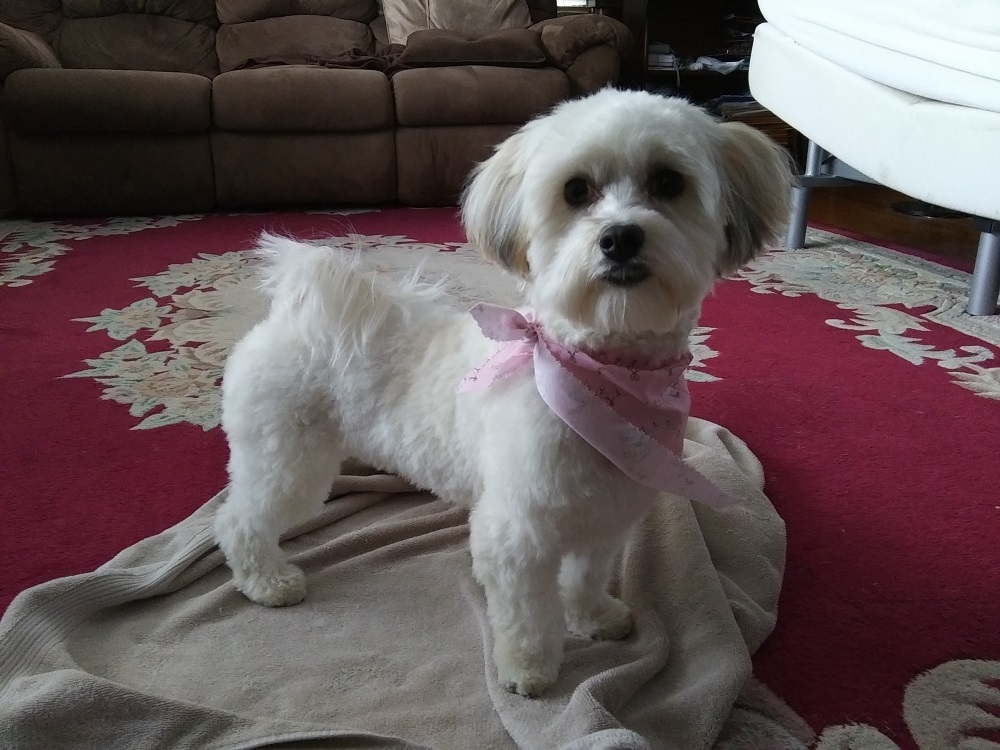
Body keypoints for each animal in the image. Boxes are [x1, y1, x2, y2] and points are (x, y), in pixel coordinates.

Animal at [215, 88, 792, 700]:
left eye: (667, 181)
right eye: (576, 190)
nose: (619, 237)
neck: (603, 377)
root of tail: (298, 311)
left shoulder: (605, 518)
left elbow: (585, 577)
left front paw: (594, 619)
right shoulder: (518, 532)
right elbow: (525, 613)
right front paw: (529, 669)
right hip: (288, 458)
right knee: (241, 518)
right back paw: (267, 581)